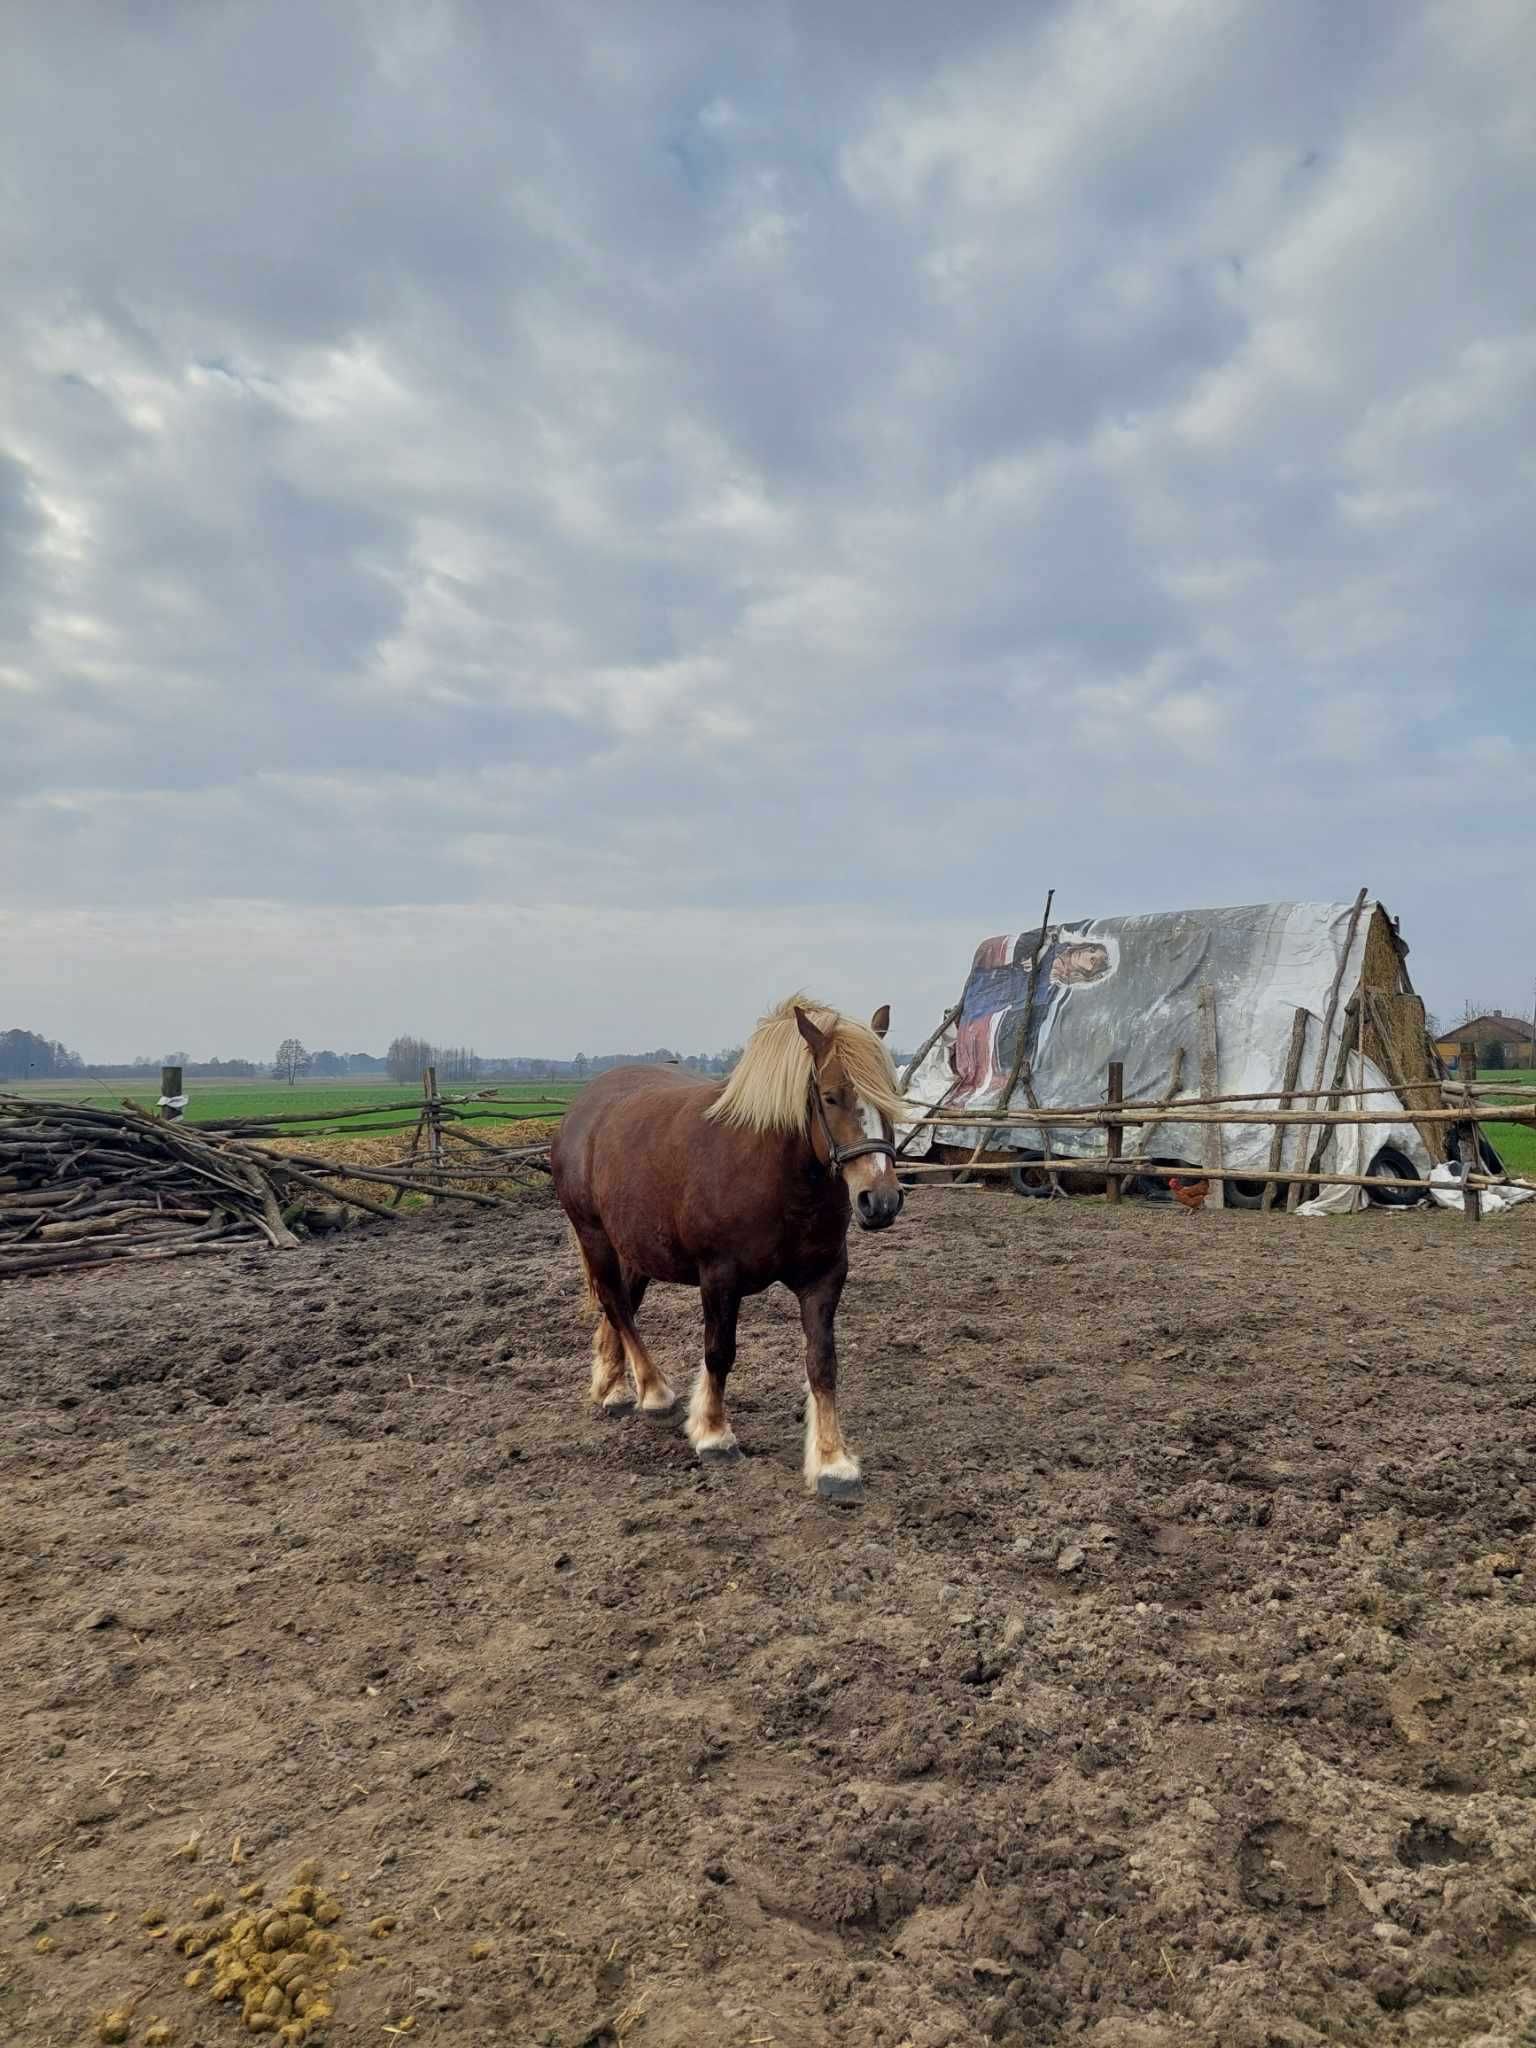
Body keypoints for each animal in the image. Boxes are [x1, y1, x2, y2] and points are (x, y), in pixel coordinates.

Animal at [552, 995, 909, 1499]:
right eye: (830, 1096)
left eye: (892, 1095)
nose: (879, 1201)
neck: (775, 1175)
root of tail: (584, 1105)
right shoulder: (719, 1276)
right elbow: (719, 1352)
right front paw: (714, 1434)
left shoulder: (823, 1277)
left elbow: (822, 1363)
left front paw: (833, 1462)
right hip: (594, 1234)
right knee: (616, 1303)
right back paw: (654, 1393)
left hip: (636, 1245)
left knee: (620, 1305)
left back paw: (615, 1388)